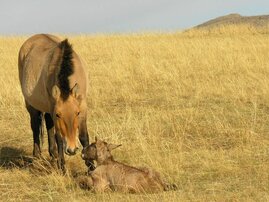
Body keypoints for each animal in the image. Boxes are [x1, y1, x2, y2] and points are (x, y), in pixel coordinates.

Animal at [18, 34, 93, 171]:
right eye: (59, 115)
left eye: (77, 113)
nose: (72, 150)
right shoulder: (53, 109)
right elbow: (59, 138)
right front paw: (62, 167)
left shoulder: (83, 106)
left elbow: (84, 137)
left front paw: (91, 166)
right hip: (31, 105)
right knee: (35, 127)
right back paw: (37, 157)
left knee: (48, 125)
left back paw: (53, 155)